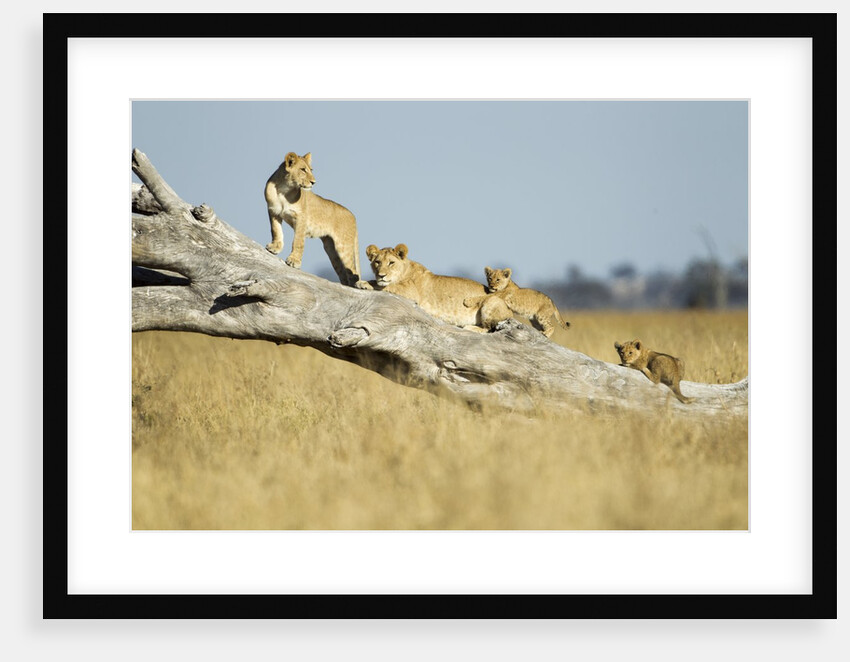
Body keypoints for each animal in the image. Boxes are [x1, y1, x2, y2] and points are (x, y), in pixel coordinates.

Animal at [264, 151, 367, 288]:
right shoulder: (273, 211)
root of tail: (353, 216)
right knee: (343, 273)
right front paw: (275, 247)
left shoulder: (301, 218)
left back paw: (359, 285)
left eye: (311, 170)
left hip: (343, 246)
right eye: (303, 169)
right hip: (331, 249)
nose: (314, 182)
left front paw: (294, 261)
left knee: (353, 271)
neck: (283, 189)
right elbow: (276, 231)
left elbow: (298, 241)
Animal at [364, 244, 512, 332]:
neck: (405, 270)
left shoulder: (411, 292)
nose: (381, 275)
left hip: (491, 301)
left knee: (487, 328)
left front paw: (365, 283)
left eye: (391, 263)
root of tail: (511, 312)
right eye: (377, 262)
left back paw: (470, 327)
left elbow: (387, 285)